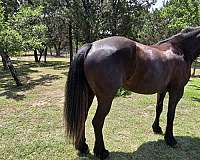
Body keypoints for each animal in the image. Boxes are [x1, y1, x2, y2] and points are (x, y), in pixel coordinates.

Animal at [64, 26, 200, 159]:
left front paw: (156, 128)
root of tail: (92, 46)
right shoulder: (177, 90)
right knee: (97, 121)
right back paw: (101, 152)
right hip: (105, 98)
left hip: (89, 94)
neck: (180, 50)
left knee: (83, 116)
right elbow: (170, 114)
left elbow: (159, 109)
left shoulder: (162, 90)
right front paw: (170, 139)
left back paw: (82, 146)